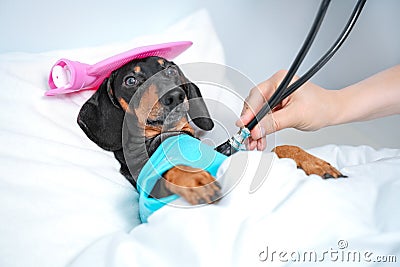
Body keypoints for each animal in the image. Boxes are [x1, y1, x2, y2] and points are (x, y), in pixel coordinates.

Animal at [77, 56, 344, 206]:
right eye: (130, 81)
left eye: (170, 70)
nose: (175, 96)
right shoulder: (149, 190)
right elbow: (169, 170)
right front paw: (194, 179)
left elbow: (282, 148)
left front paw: (315, 163)